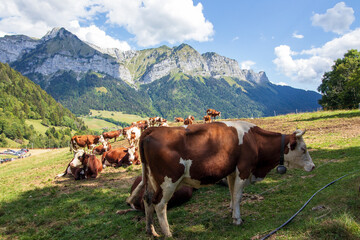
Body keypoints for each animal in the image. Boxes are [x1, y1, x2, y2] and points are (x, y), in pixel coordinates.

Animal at [127, 121, 316, 237]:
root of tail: (153, 129)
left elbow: (232, 193)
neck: (254, 140)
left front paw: (232, 211)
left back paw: (151, 230)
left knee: (147, 199)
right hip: (168, 181)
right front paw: (237, 219)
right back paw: (167, 233)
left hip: (152, 179)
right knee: (159, 204)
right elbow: (238, 196)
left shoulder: (232, 171)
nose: (313, 166)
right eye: (304, 149)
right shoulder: (243, 170)